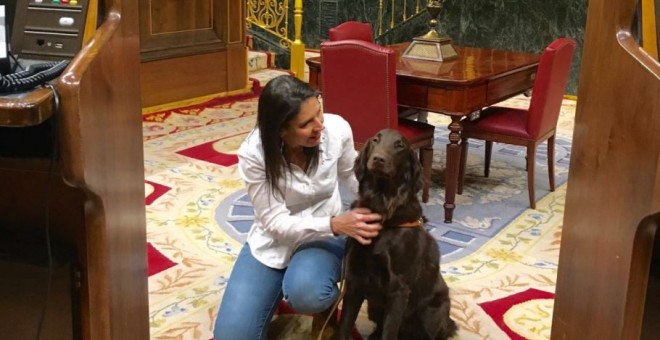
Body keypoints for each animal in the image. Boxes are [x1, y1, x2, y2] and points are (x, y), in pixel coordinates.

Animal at [338, 129, 456, 338]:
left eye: (399, 146)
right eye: (375, 140)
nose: (378, 159)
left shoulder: (398, 289)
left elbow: (389, 332)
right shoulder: (354, 280)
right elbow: (344, 326)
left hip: (432, 313)